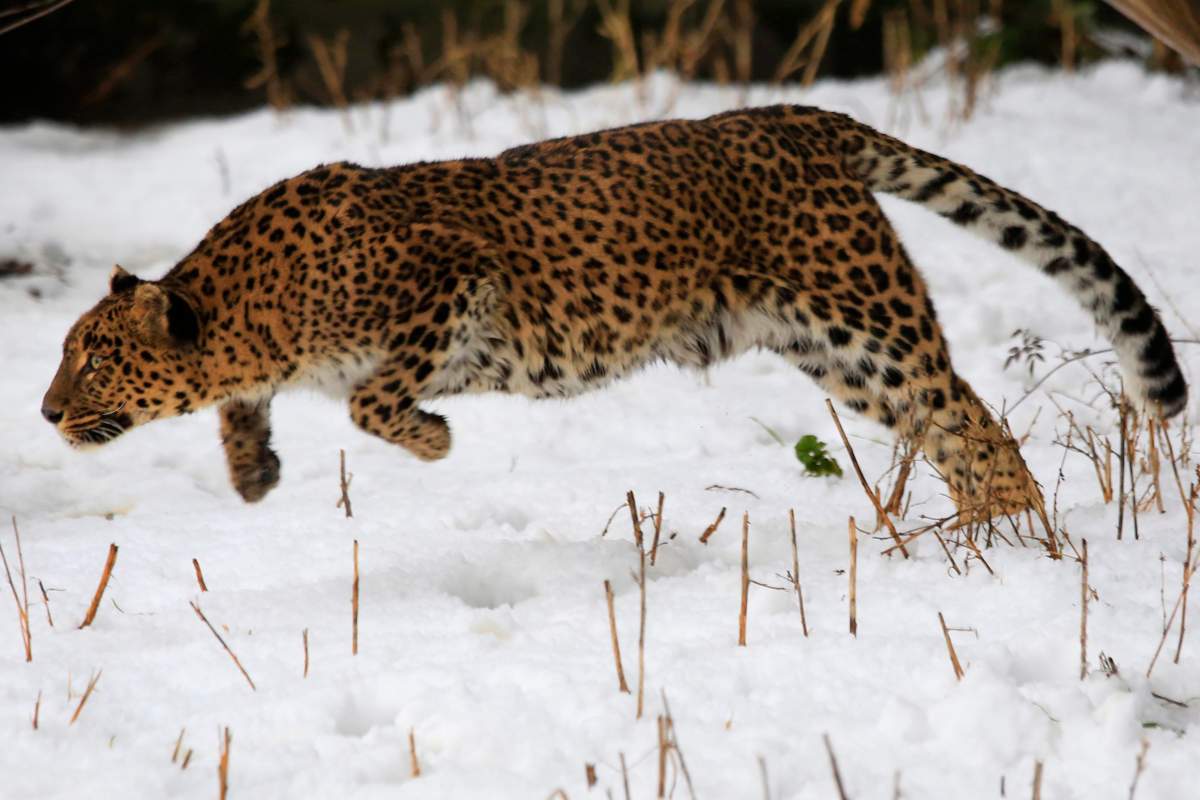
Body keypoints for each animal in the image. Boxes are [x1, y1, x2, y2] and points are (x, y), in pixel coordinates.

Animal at [42, 105, 1187, 521]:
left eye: (91, 358)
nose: (48, 412)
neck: (247, 312)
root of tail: (800, 115)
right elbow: (252, 403)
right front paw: (253, 472)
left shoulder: (453, 276)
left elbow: (374, 399)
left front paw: (434, 438)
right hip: (840, 351)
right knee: (952, 421)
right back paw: (988, 535)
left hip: (866, 316)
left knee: (968, 413)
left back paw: (1016, 539)